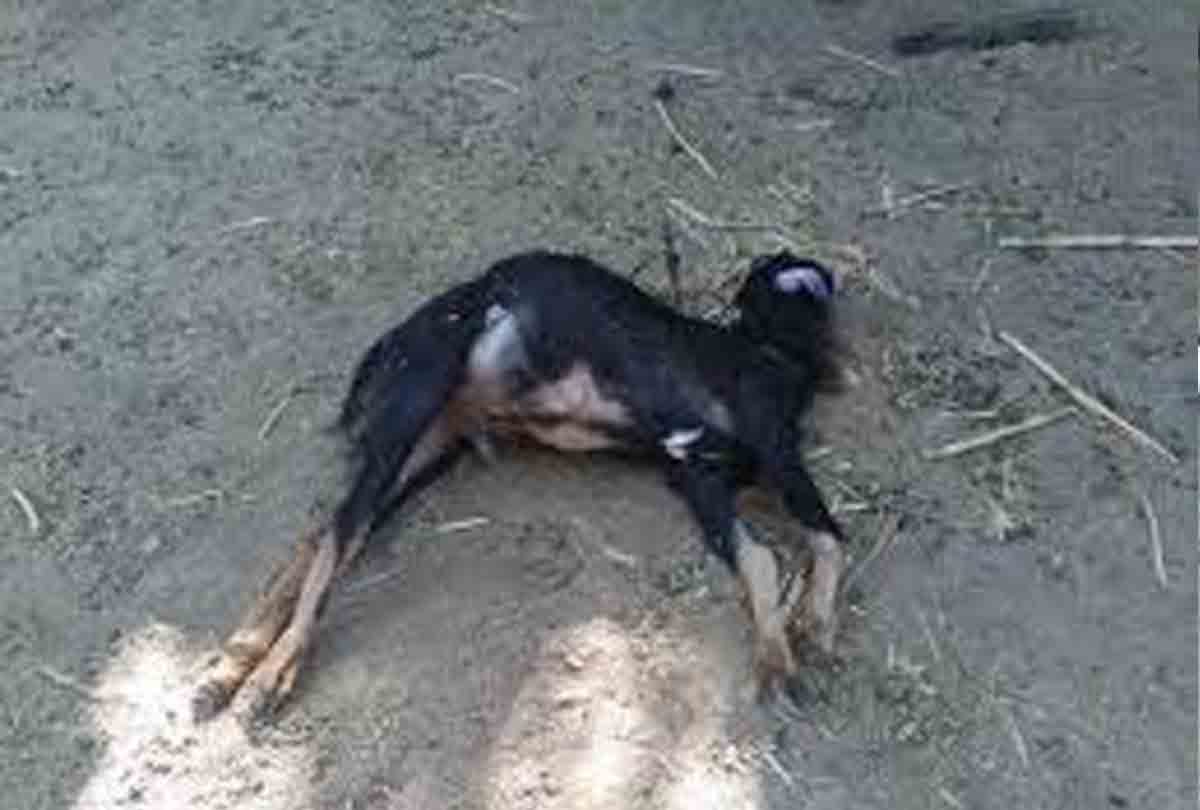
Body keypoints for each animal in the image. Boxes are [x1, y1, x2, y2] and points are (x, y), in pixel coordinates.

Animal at [192, 249, 849, 726]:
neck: (766, 349)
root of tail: (393, 342)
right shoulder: (770, 449)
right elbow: (824, 537)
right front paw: (807, 639)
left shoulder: (700, 479)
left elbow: (761, 558)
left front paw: (782, 652)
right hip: (410, 407)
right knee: (337, 537)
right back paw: (263, 679)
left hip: (422, 454)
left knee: (324, 533)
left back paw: (232, 663)